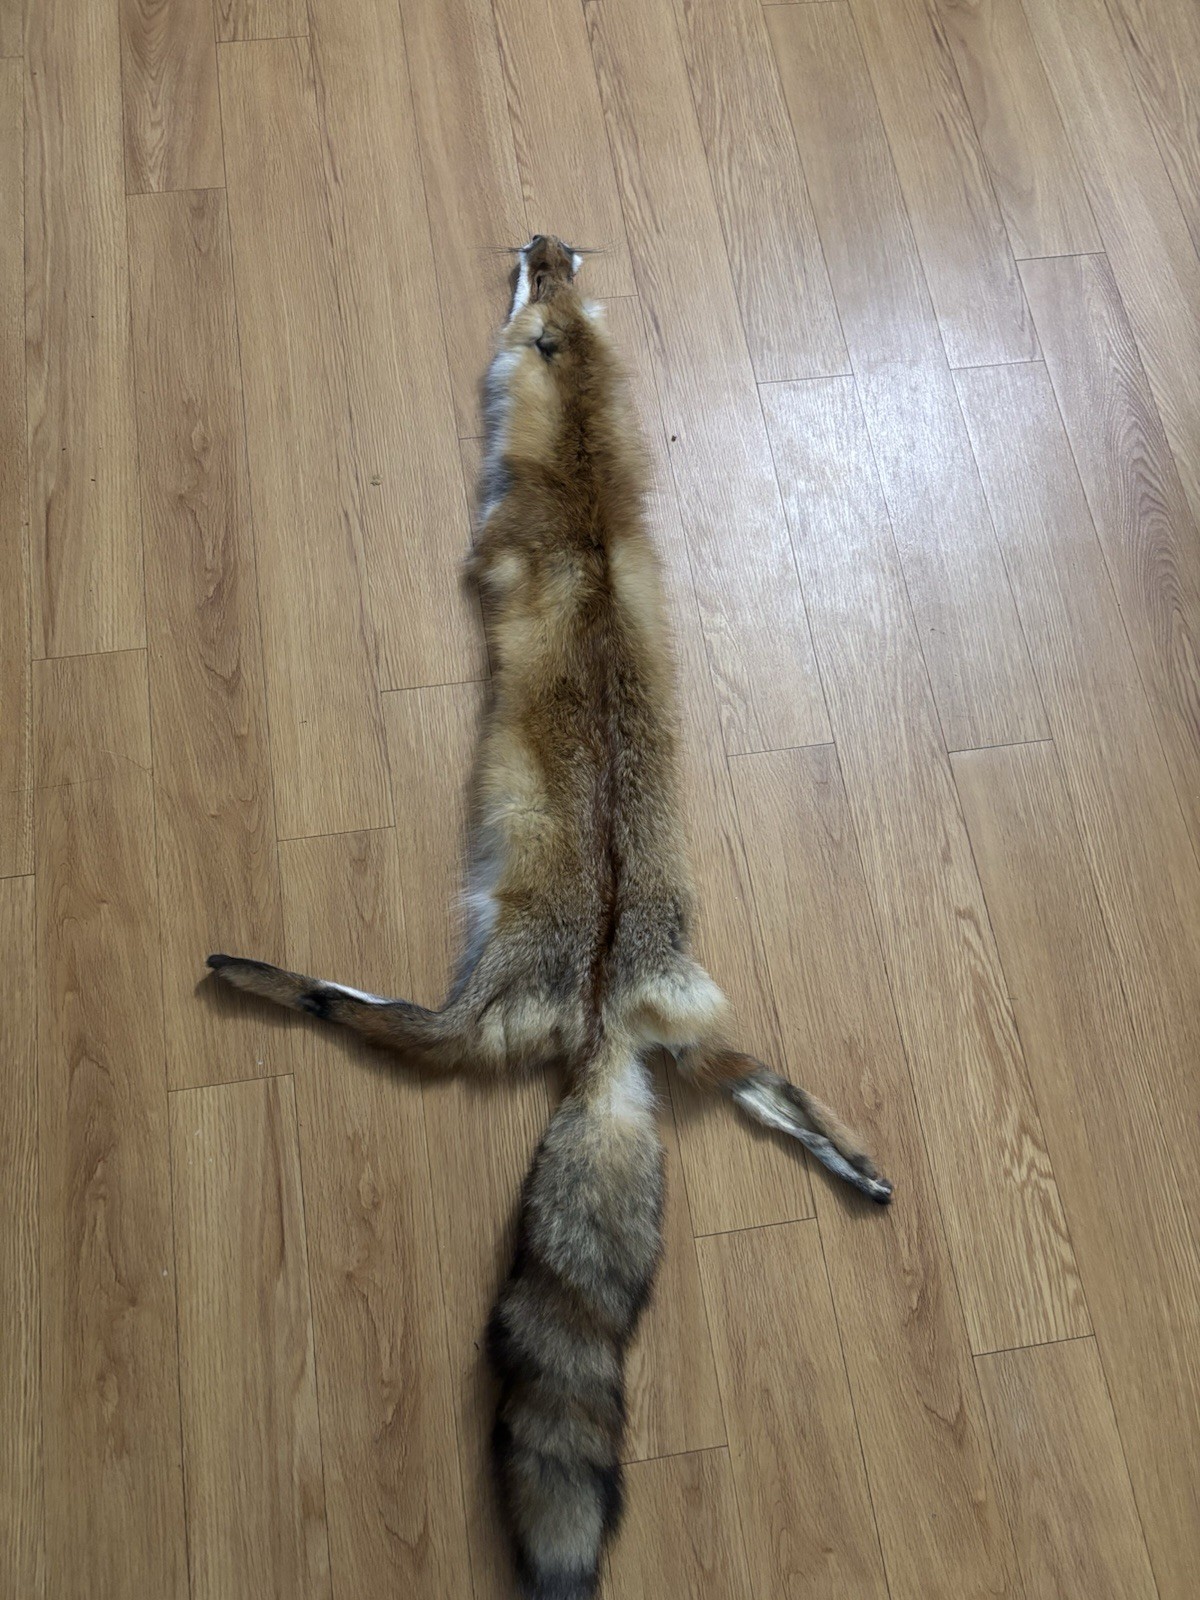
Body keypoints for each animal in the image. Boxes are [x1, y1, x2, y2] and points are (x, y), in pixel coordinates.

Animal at [208, 235, 892, 1599]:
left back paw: (265, 973)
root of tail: (605, 1013)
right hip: (697, 1022)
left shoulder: (490, 547)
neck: (584, 496)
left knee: (403, 1030)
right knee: (754, 1078)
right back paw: (855, 1161)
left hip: (474, 990)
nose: (541, 234)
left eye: (540, 293)